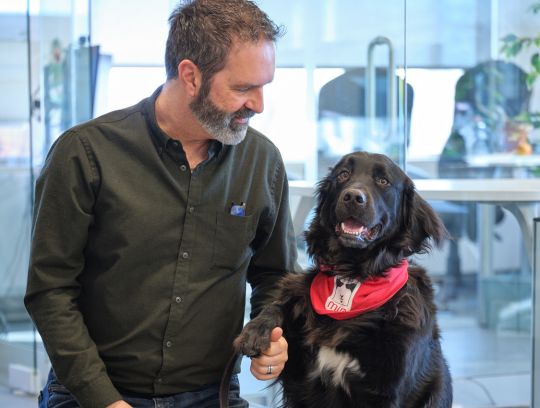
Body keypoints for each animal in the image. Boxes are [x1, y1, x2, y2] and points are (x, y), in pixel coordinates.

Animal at [234, 151, 454, 408]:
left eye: (383, 181)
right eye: (343, 175)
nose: (352, 197)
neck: (353, 276)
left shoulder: (385, 392)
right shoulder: (298, 374)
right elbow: (278, 304)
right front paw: (255, 331)